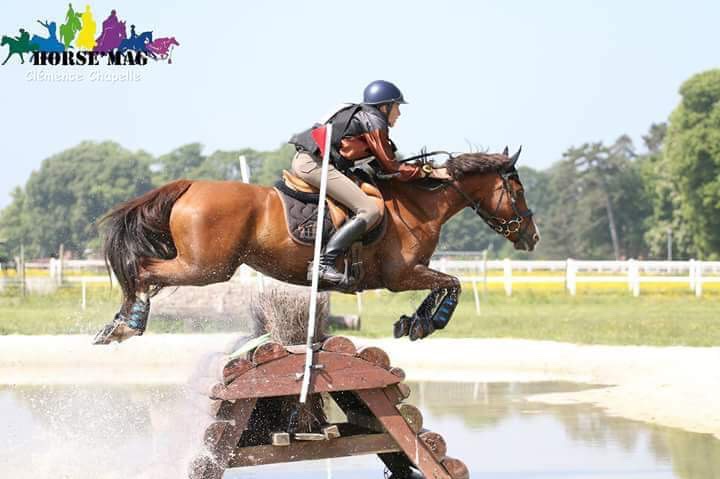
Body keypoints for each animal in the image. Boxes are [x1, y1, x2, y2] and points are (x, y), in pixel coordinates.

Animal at [93, 149, 536, 344]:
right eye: (517, 189)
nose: (531, 237)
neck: (418, 204)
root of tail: (189, 185)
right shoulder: (402, 275)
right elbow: (452, 284)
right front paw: (428, 322)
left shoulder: (412, 274)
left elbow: (446, 283)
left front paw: (415, 322)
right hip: (205, 268)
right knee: (142, 271)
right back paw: (128, 325)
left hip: (199, 265)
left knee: (141, 274)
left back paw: (115, 324)